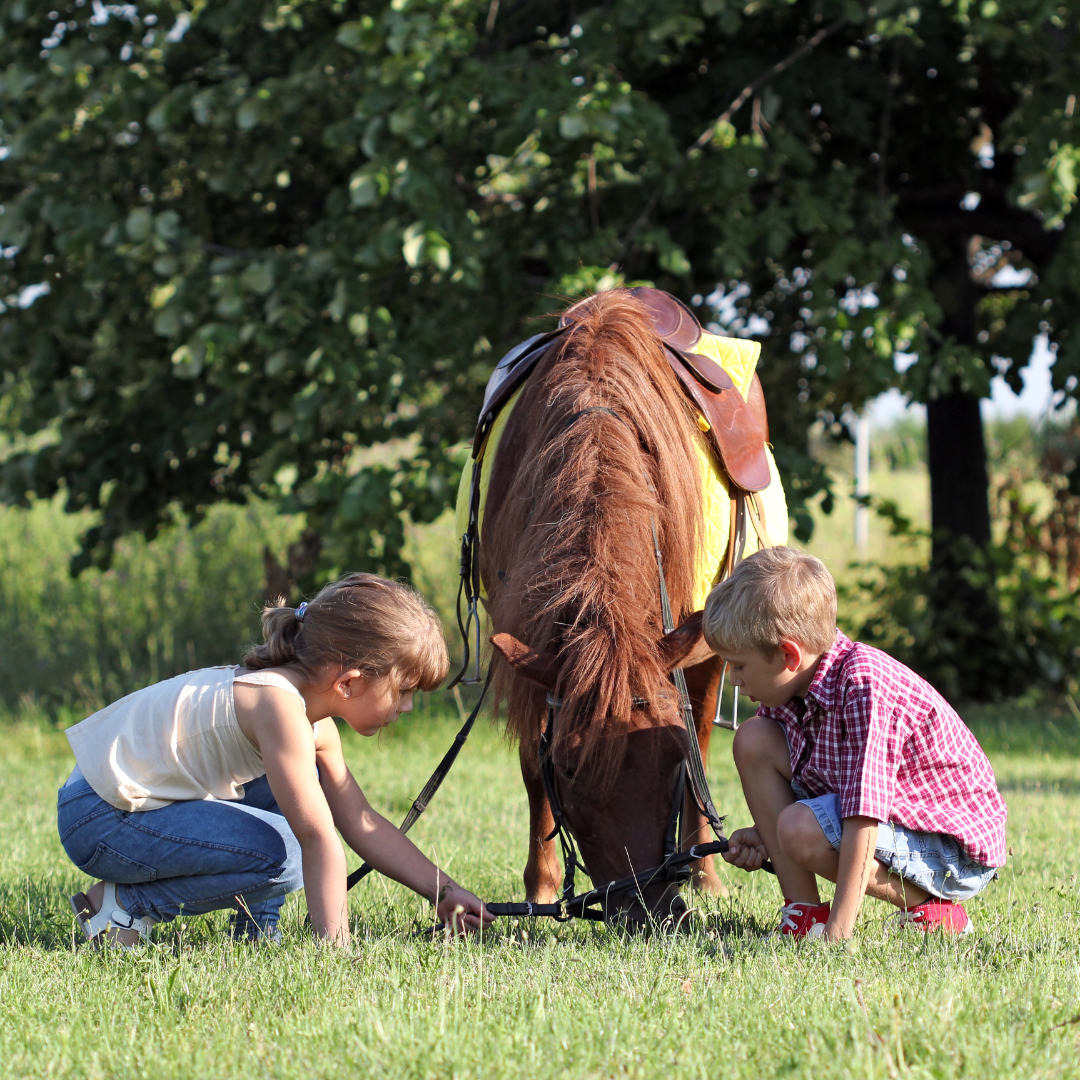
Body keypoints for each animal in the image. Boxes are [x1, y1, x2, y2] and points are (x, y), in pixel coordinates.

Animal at [460, 288, 786, 926]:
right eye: (571, 770)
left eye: (670, 760)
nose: (651, 909)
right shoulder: (528, 644)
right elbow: (532, 767)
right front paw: (540, 890)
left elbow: (696, 750)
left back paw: (706, 875)